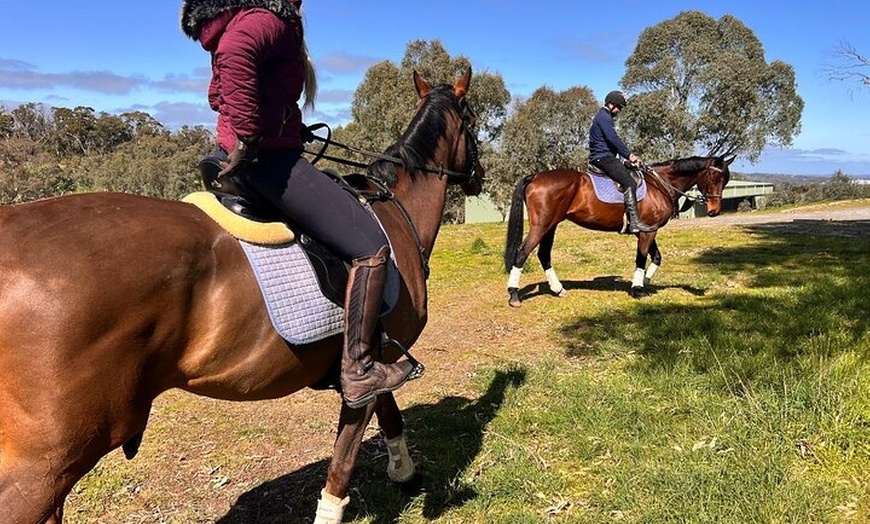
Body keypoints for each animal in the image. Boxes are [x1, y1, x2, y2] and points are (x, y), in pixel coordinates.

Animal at [0, 68, 483, 524]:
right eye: (474, 121)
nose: (478, 178)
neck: (394, 211)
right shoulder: (364, 369)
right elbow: (345, 458)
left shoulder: (378, 354)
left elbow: (389, 410)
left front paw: (405, 472)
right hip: (42, 469)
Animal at [503, 155, 734, 306]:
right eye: (715, 178)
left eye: (726, 180)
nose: (714, 211)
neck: (660, 184)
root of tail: (535, 176)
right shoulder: (647, 232)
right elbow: (641, 258)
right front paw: (638, 289)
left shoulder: (648, 230)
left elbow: (657, 257)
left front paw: (644, 282)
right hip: (542, 225)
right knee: (522, 253)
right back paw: (514, 295)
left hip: (551, 226)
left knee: (544, 254)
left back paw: (558, 289)